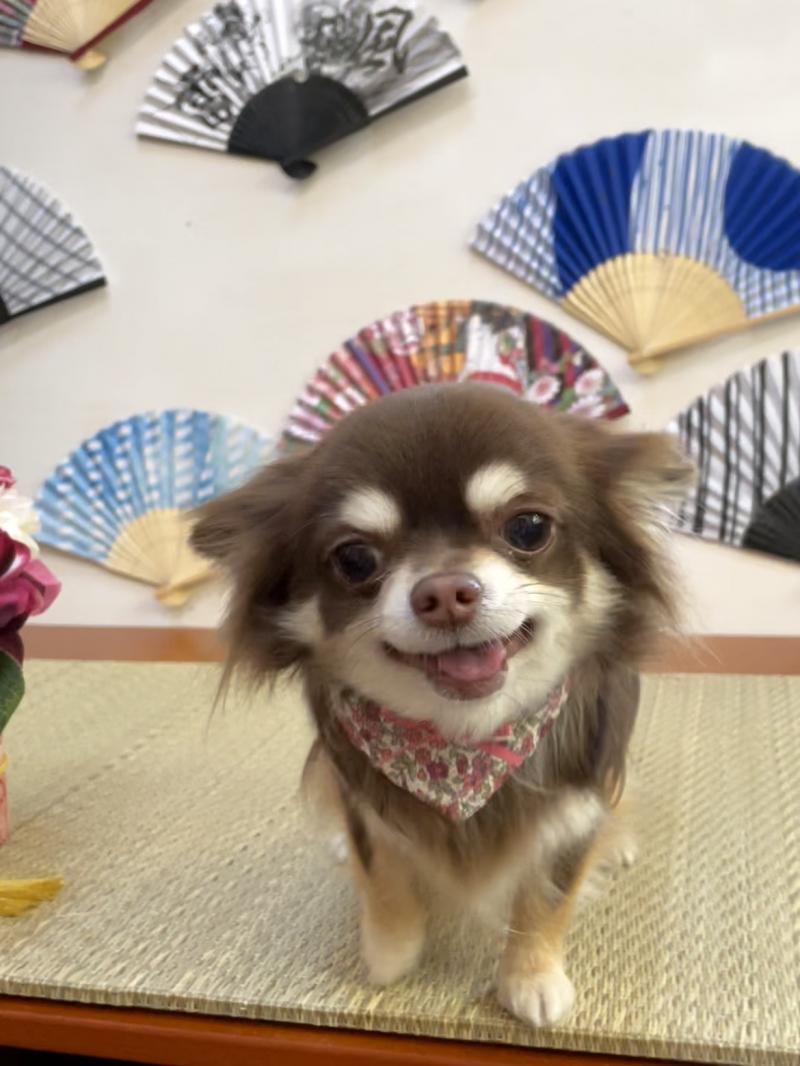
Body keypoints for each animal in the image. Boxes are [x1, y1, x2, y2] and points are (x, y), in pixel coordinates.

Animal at [191, 382, 691, 1027]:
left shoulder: (575, 805)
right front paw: (390, 953)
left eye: (529, 528)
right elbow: (380, 869)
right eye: (355, 559)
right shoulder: (361, 797)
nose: (447, 593)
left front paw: (531, 977)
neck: (462, 742)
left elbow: (549, 893)